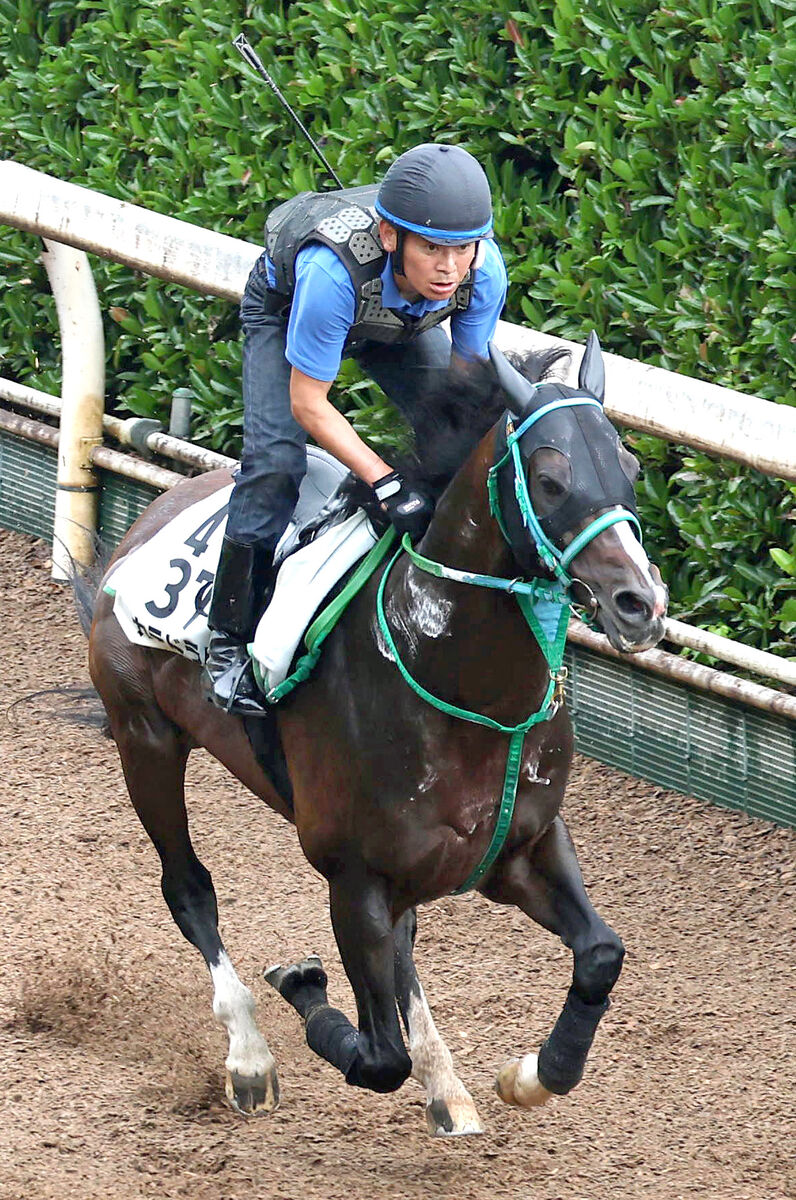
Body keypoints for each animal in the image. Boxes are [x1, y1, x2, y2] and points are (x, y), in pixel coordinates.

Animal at [85, 336, 667, 1132]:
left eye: (631, 469)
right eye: (550, 480)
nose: (641, 601)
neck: (457, 686)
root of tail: (157, 512)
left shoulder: (522, 846)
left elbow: (601, 954)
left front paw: (531, 1075)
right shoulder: (352, 874)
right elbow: (377, 1055)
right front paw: (301, 983)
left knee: (402, 941)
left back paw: (445, 1086)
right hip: (144, 736)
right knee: (188, 887)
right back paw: (249, 1055)